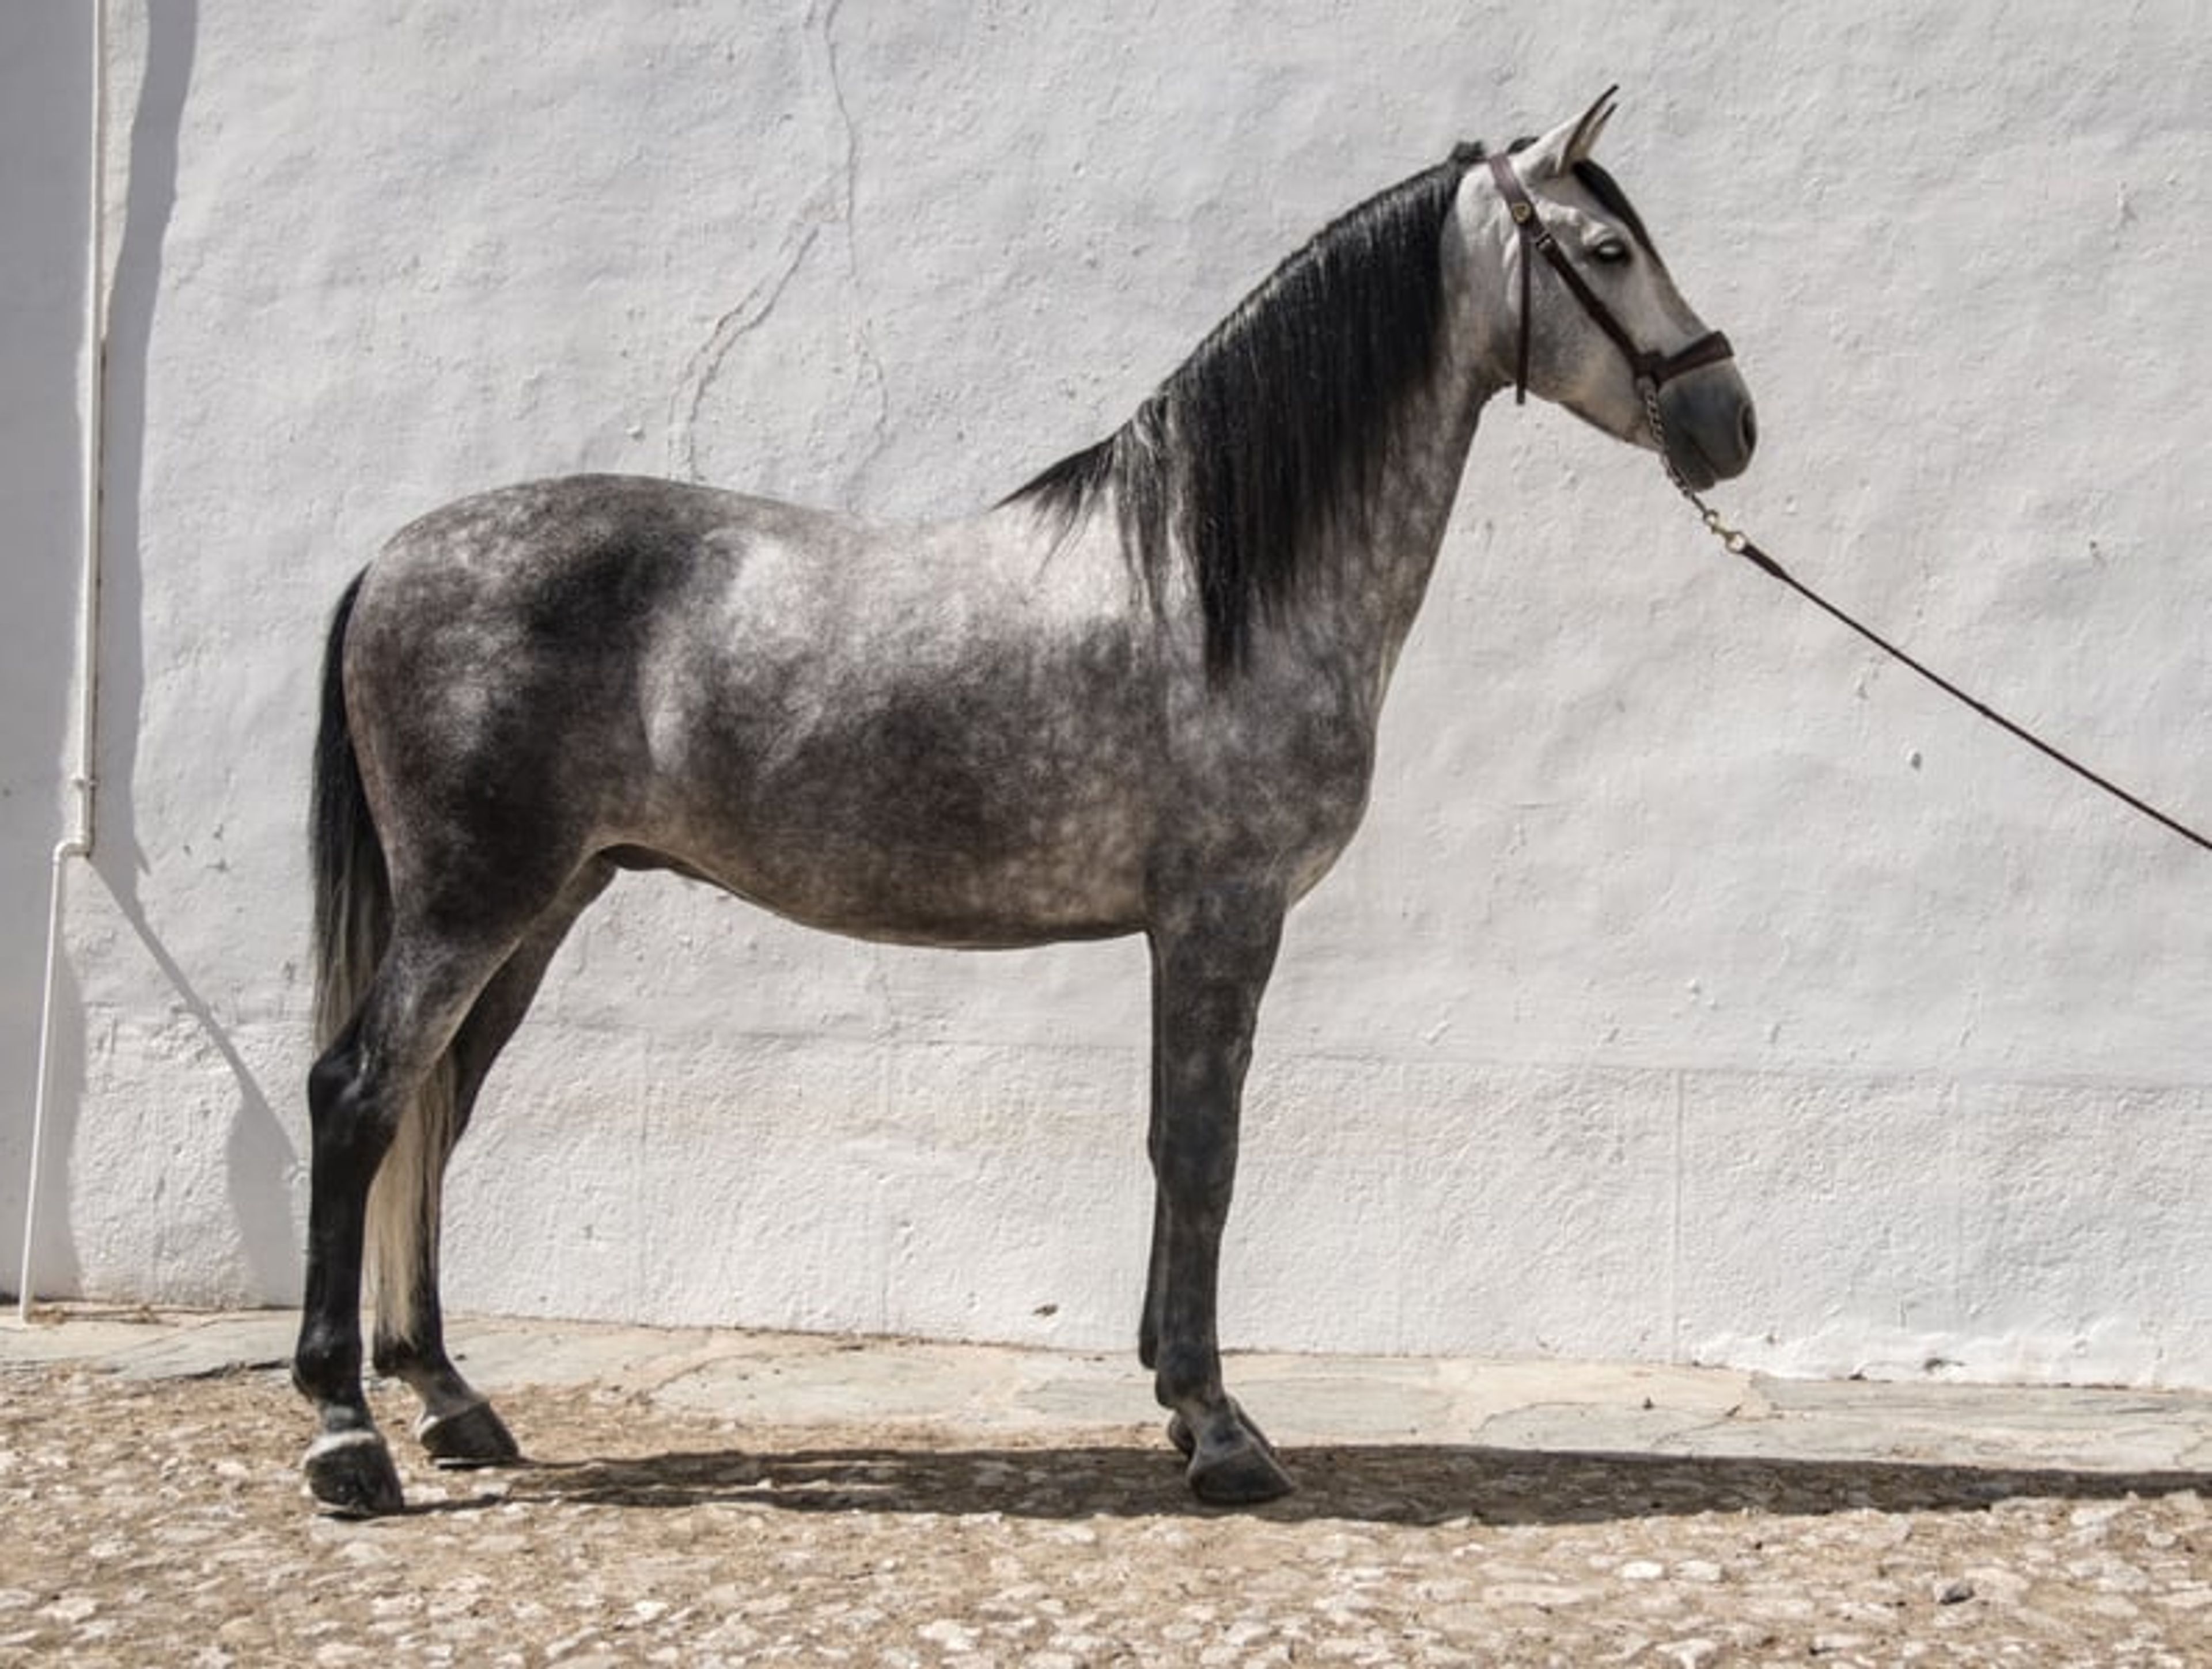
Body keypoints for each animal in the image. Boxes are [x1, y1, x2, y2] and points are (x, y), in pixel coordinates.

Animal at [293, 90, 1757, 1516]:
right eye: (1607, 250)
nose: (1729, 421)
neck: (1211, 587)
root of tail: (389, 559)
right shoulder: (1222, 916)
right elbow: (1202, 1151)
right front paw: (1217, 1429)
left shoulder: (1194, 928)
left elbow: (1179, 1147)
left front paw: (1178, 1402)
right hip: (473, 905)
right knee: (358, 1097)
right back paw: (344, 1436)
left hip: (541, 905)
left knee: (434, 1106)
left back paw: (450, 1400)